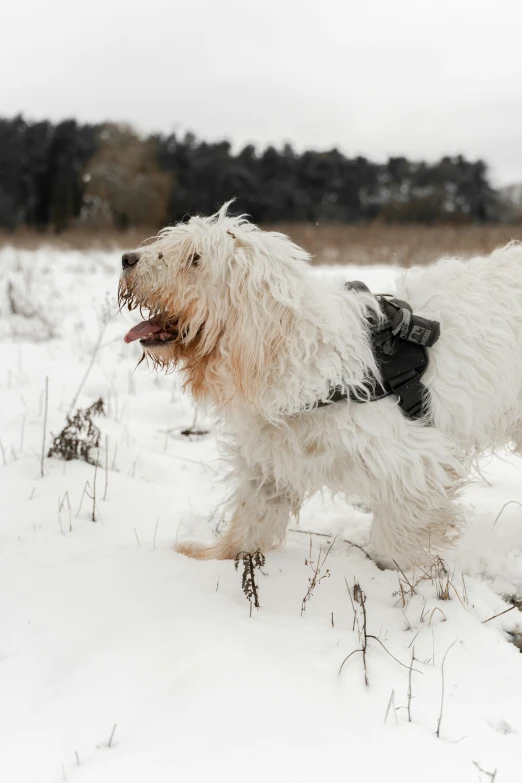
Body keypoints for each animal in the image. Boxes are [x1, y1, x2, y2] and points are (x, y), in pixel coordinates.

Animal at [120, 205, 520, 568]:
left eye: (195, 259)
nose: (126, 258)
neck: (303, 352)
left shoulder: (415, 462)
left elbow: (396, 544)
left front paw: (401, 580)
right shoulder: (271, 459)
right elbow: (251, 518)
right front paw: (211, 557)